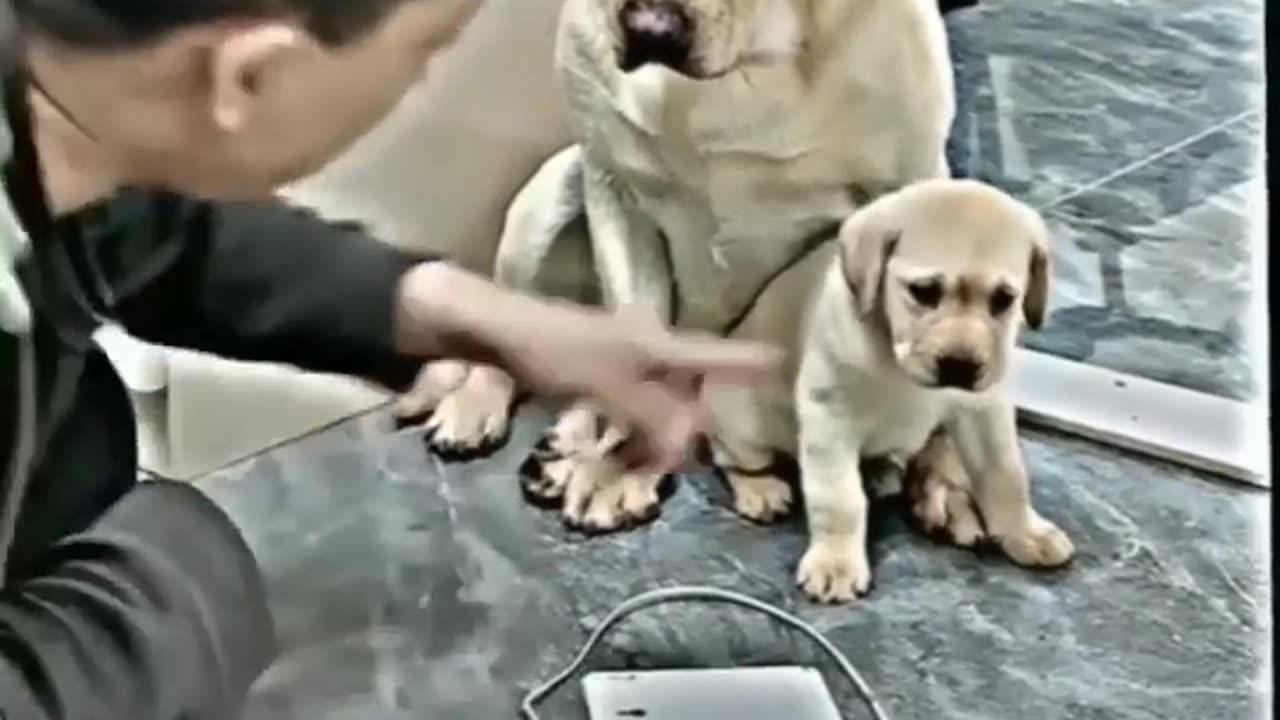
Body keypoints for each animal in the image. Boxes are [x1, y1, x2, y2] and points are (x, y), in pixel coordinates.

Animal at [401, 0, 962, 532]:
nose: (651, 28)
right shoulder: (615, 187)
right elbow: (640, 347)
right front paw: (621, 466)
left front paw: (943, 474)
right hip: (546, 201)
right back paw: (487, 411)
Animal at [706, 178, 1075, 599]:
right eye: (924, 291)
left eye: (1004, 299)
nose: (960, 366)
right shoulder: (829, 416)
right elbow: (839, 498)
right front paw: (835, 562)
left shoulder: (984, 409)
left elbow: (1006, 474)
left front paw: (1026, 532)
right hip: (743, 421)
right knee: (731, 458)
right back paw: (761, 488)